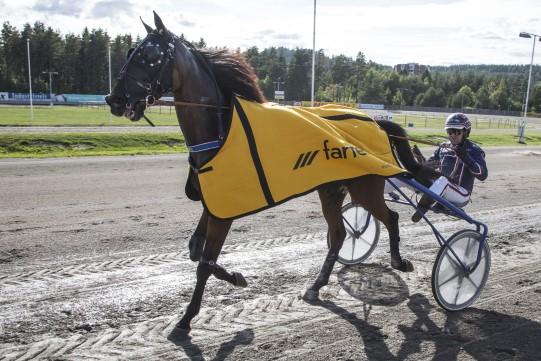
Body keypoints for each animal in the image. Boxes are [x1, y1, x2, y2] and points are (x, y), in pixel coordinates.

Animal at [105, 11, 438, 332]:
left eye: (149, 55)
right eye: (130, 52)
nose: (114, 99)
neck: (221, 129)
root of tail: (373, 120)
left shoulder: (223, 212)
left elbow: (205, 262)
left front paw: (187, 318)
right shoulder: (214, 204)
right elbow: (196, 251)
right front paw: (235, 277)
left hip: (364, 187)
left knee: (389, 218)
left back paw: (399, 261)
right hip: (331, 189)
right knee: (339, 234)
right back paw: (317, 285)